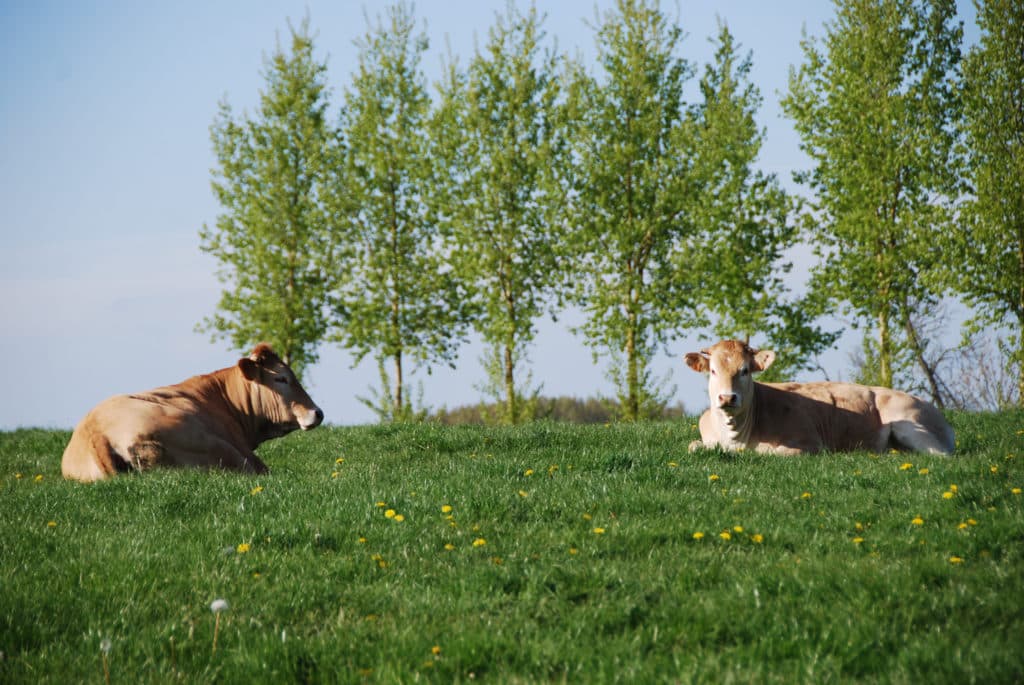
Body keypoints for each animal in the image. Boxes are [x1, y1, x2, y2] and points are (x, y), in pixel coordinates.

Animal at [684, 340, 955, 455]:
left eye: (745, 370)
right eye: (713, 371)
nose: (727, 398)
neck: (736, 438)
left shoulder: (810, 443)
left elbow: (768, 451)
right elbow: (693, 446)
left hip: (909, 425)